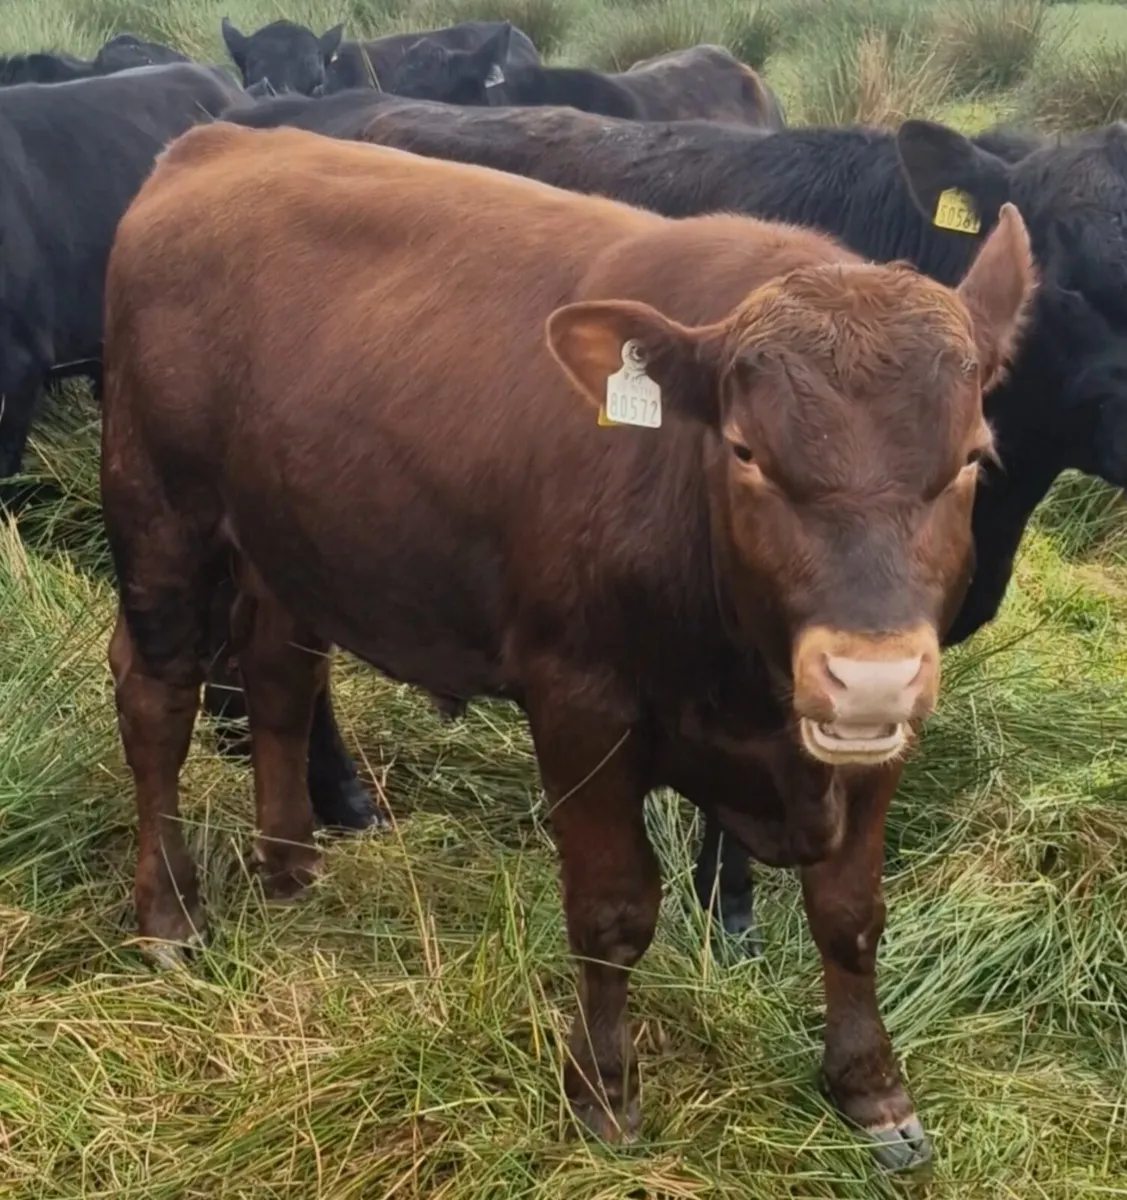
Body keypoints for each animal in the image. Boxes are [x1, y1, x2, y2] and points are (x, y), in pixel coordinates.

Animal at [102, 118, 1033, 1169]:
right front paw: (603, 1092)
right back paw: (170, 915)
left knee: (278, 676)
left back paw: (291, 866)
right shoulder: (581, 706)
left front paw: (871, 1089)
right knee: (157, 696)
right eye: (746, 452)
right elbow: (611, 910)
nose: (866, 675)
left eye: (970, 457)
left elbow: (850, 915)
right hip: (160, 511)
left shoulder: (871, 742)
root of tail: (221, 139)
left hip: (287, 534)